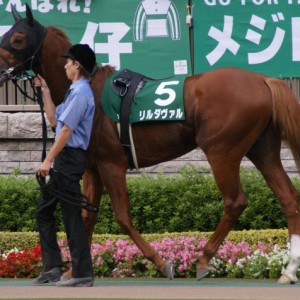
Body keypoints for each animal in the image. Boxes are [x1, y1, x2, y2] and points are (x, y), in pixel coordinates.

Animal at [1, 4, 300, 284]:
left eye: (17, 38)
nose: (0, 69)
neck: (88, 90)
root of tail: (264, 79)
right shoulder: (92, 169)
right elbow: (86, 217)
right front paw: (73, 271)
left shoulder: (112, 164)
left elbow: (122, 216)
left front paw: (161, 262)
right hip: (262, 150)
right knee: (289, 198)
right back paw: (288, 270)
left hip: (221, 151)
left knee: (235, 201)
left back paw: (204, 259)